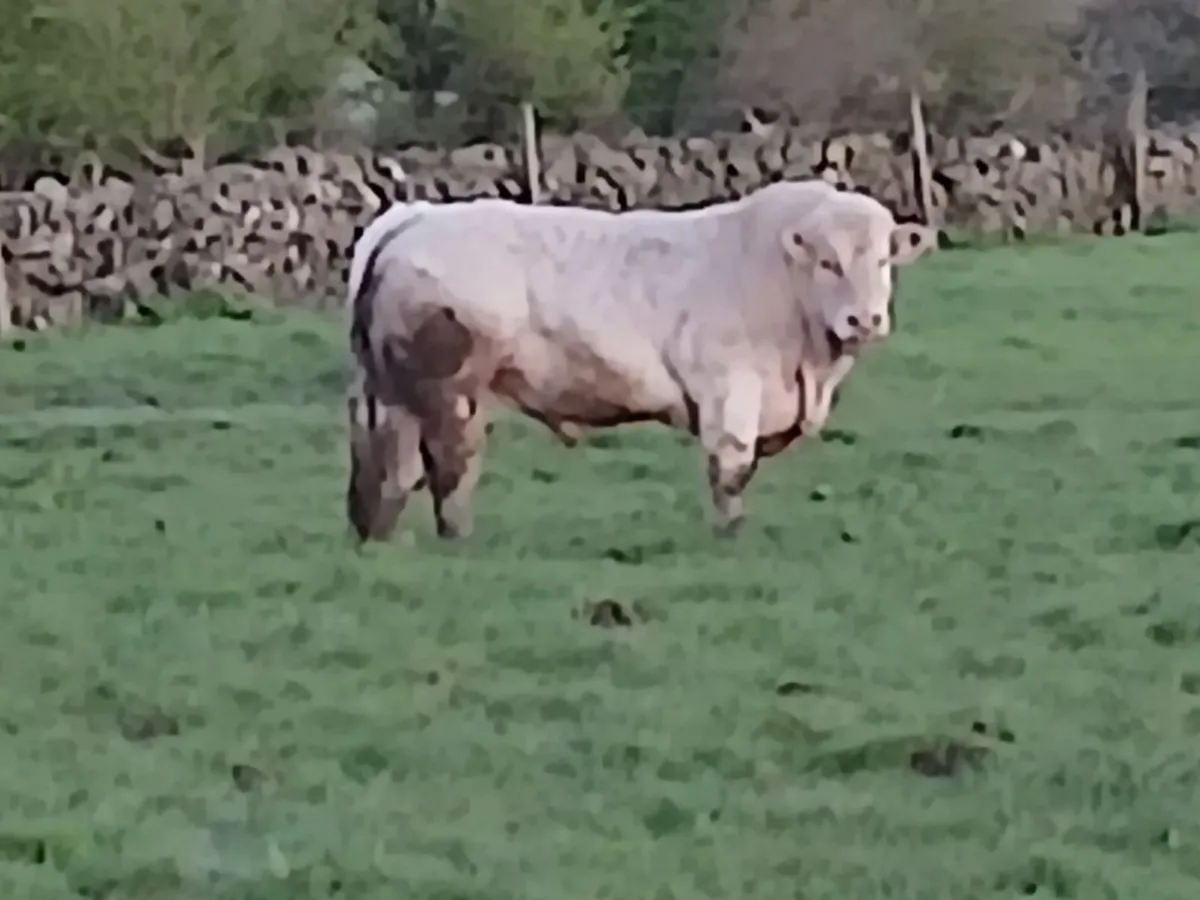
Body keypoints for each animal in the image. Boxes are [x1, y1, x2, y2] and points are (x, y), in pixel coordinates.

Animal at [345, 181, 935, 542]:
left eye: (885, 258)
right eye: (828, 262)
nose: (864, 320)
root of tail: (418, 216)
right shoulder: (730, 389)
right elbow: (731, 470)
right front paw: (730, 539)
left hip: (396, 394)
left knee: (392, 469)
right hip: (451, 393)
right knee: (448, 467)